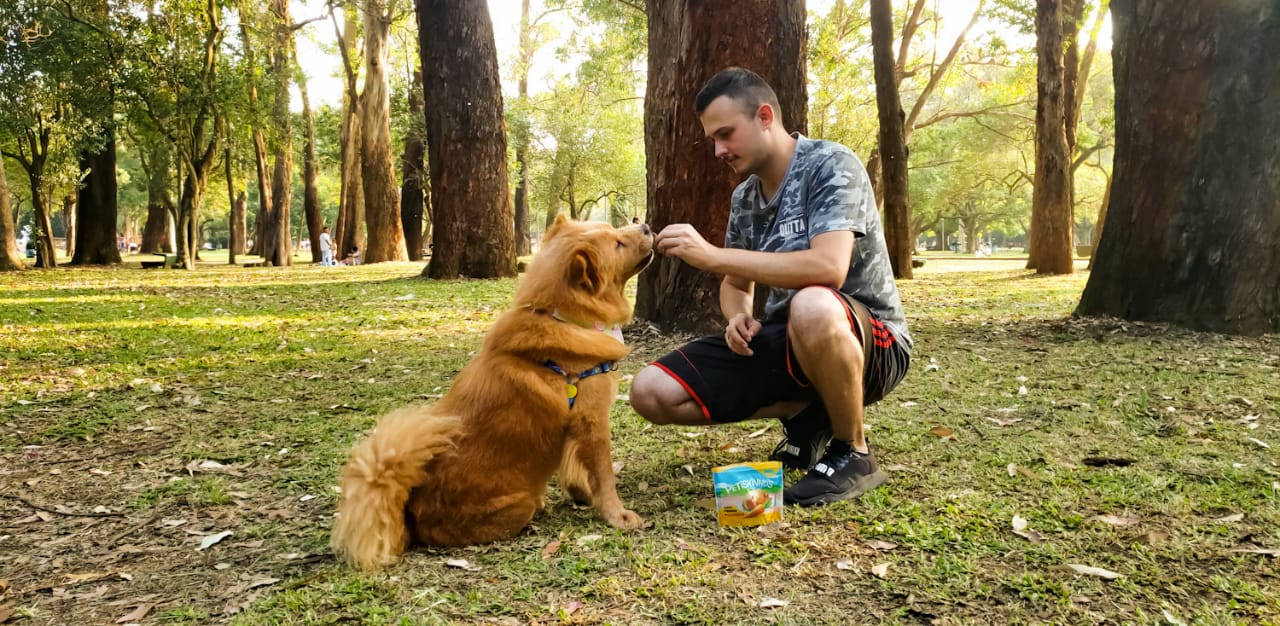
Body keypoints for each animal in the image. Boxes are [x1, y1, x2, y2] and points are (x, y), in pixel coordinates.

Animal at [330, 216, 655, 570]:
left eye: (614, 229)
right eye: (617, 244)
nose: (647, 226)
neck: (566, 318)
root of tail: (411, 514)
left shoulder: (573, 429)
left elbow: (576, 469)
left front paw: (583, 496)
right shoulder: (592, 421)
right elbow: (604, 476)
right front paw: (617, 515)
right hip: (519, 505)